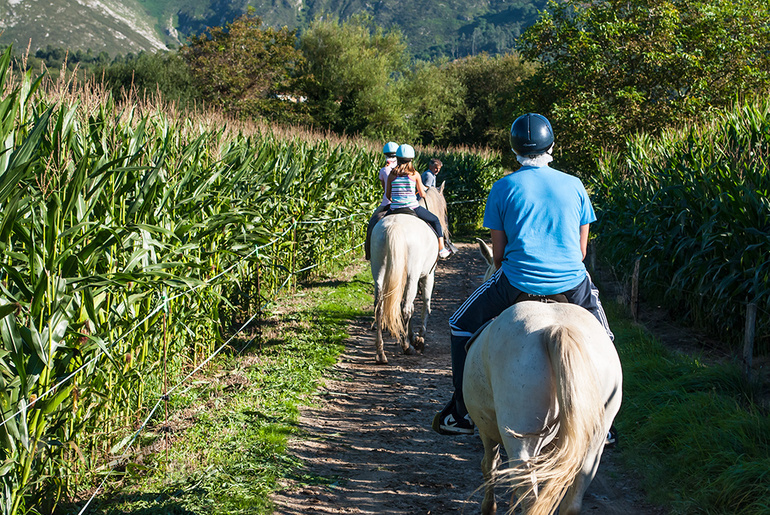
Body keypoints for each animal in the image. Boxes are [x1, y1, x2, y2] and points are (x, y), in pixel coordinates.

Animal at [368, 183, 450, 364]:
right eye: (445, 210)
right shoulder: (428, 276)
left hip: (379, 272)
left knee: (379, 307)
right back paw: (407, 347)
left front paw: (412, 336)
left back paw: (380, 353)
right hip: (412, 276)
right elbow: (425, 305)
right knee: (405, 308)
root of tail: (394, 225)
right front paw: (419, 339)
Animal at [462, 242, 616, 515]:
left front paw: (488, 507)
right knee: (570, 499)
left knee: (529, 496)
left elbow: (489, 466)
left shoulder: (486, 428)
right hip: (592, 445)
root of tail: (555, 328)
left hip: (521, 440)